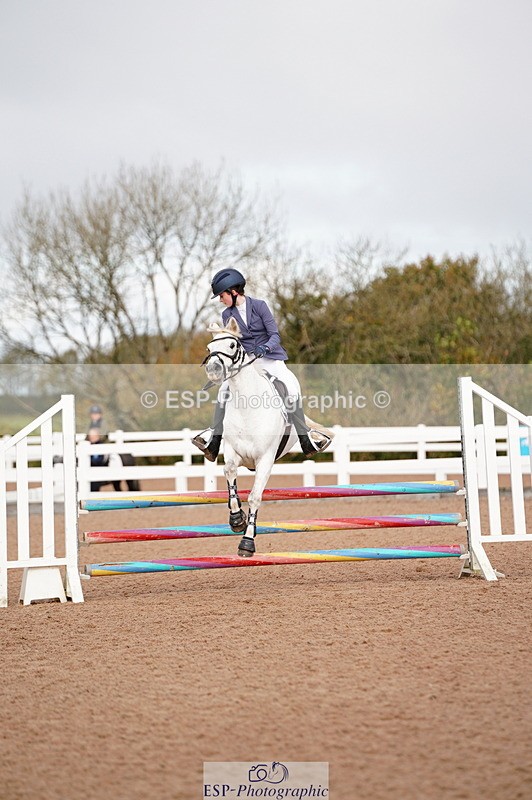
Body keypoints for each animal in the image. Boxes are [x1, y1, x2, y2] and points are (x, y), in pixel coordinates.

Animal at [202, 318, 334, 557]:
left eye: (232, 345)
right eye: (209, 348)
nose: (213, 370)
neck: (246, 406)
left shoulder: (265, 459)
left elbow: (255, 496)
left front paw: (247, 542)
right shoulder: (233, 452)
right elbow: (230, 473)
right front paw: (237, 519)